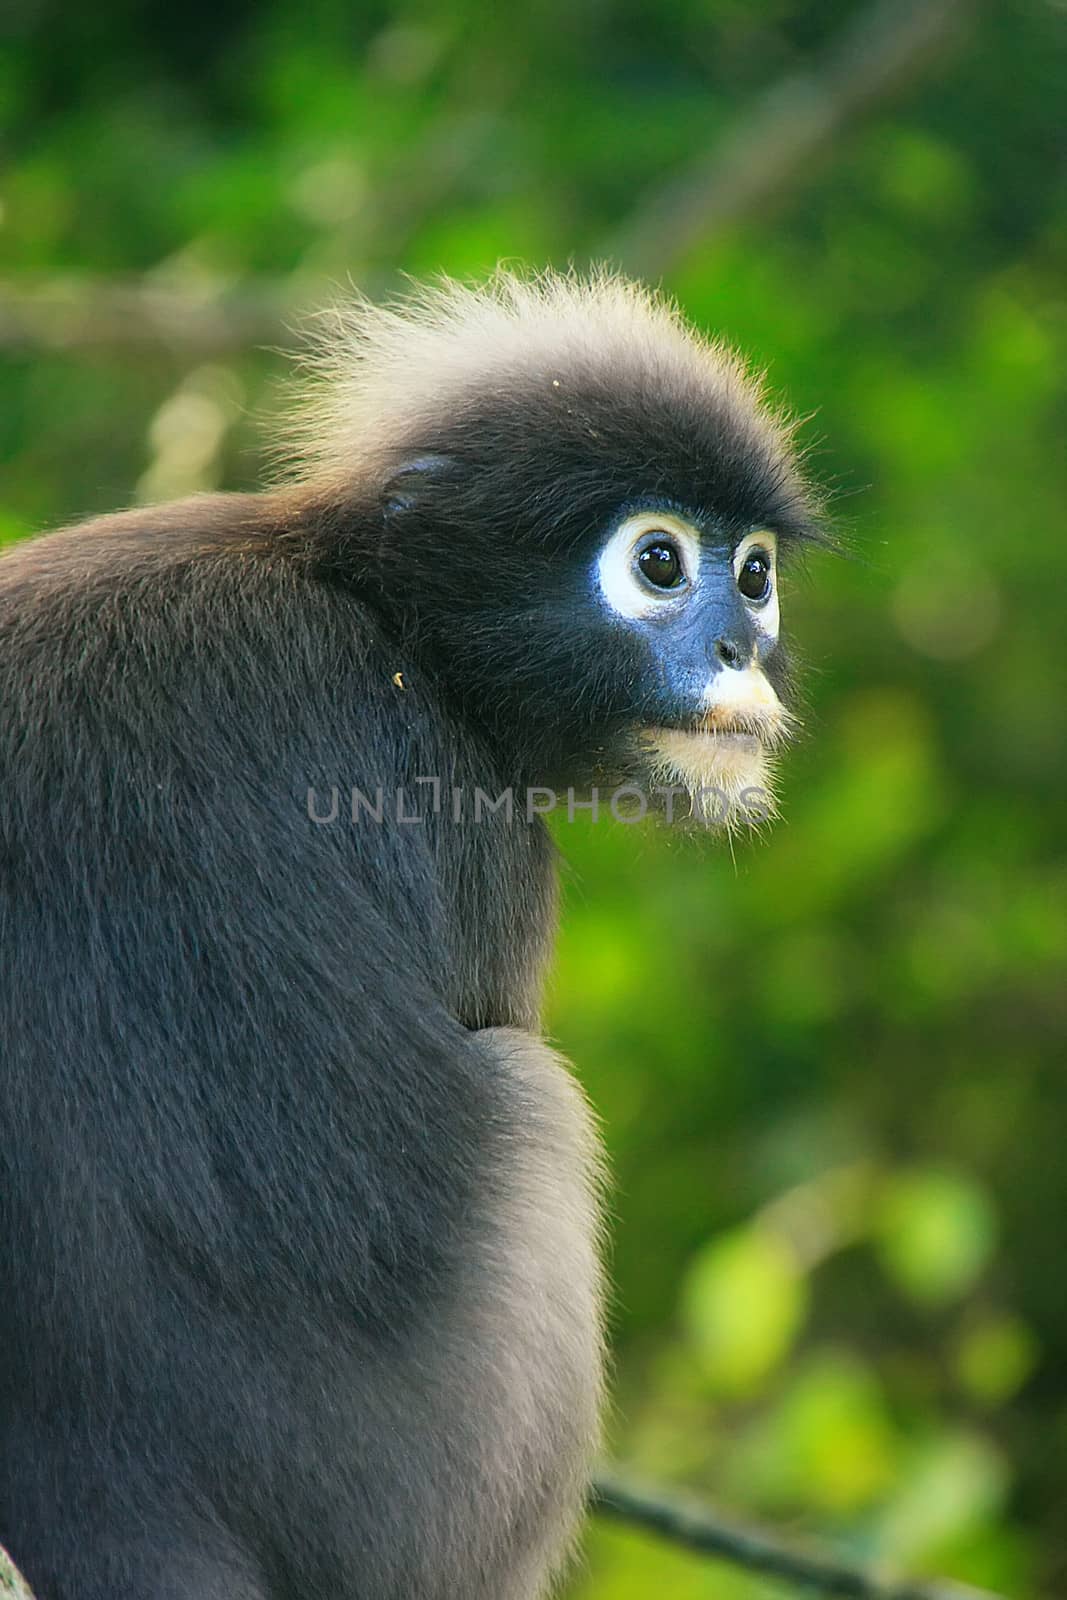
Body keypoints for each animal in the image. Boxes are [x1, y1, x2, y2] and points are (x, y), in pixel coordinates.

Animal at [0, 268, 819, 1593]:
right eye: (657, 560)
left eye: (752, 573)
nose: (742, 646)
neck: (382, 613)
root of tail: (117, 1494)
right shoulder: (471, 822)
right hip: (401, 1491)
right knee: (532, 1097)